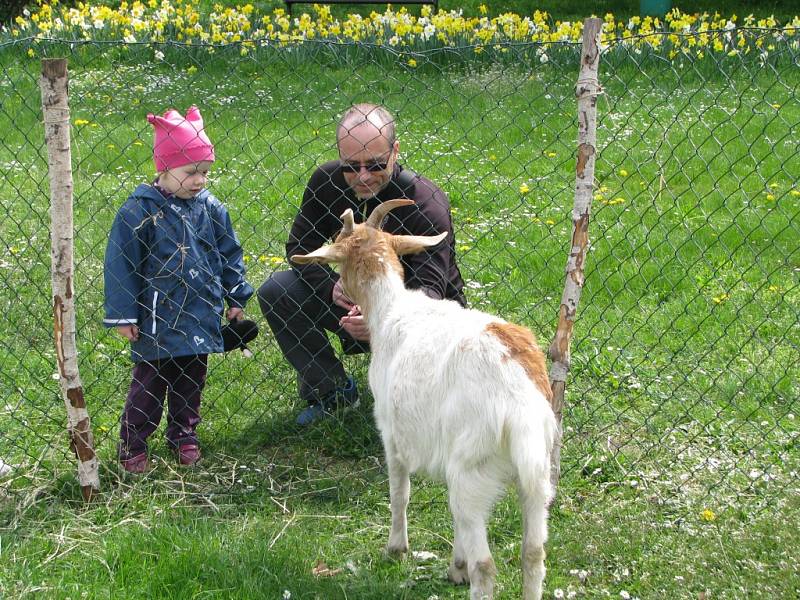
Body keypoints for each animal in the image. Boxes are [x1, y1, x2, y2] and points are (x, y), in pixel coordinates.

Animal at [292, 202, 556, 600]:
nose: (340, 290)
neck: (391, 309)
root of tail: (519, 404)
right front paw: (456, 566)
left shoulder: (390, 429)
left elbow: (400, 492)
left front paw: (396, 549)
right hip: (537, 475)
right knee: (533, 552)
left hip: (472, 469)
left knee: (486, 565)